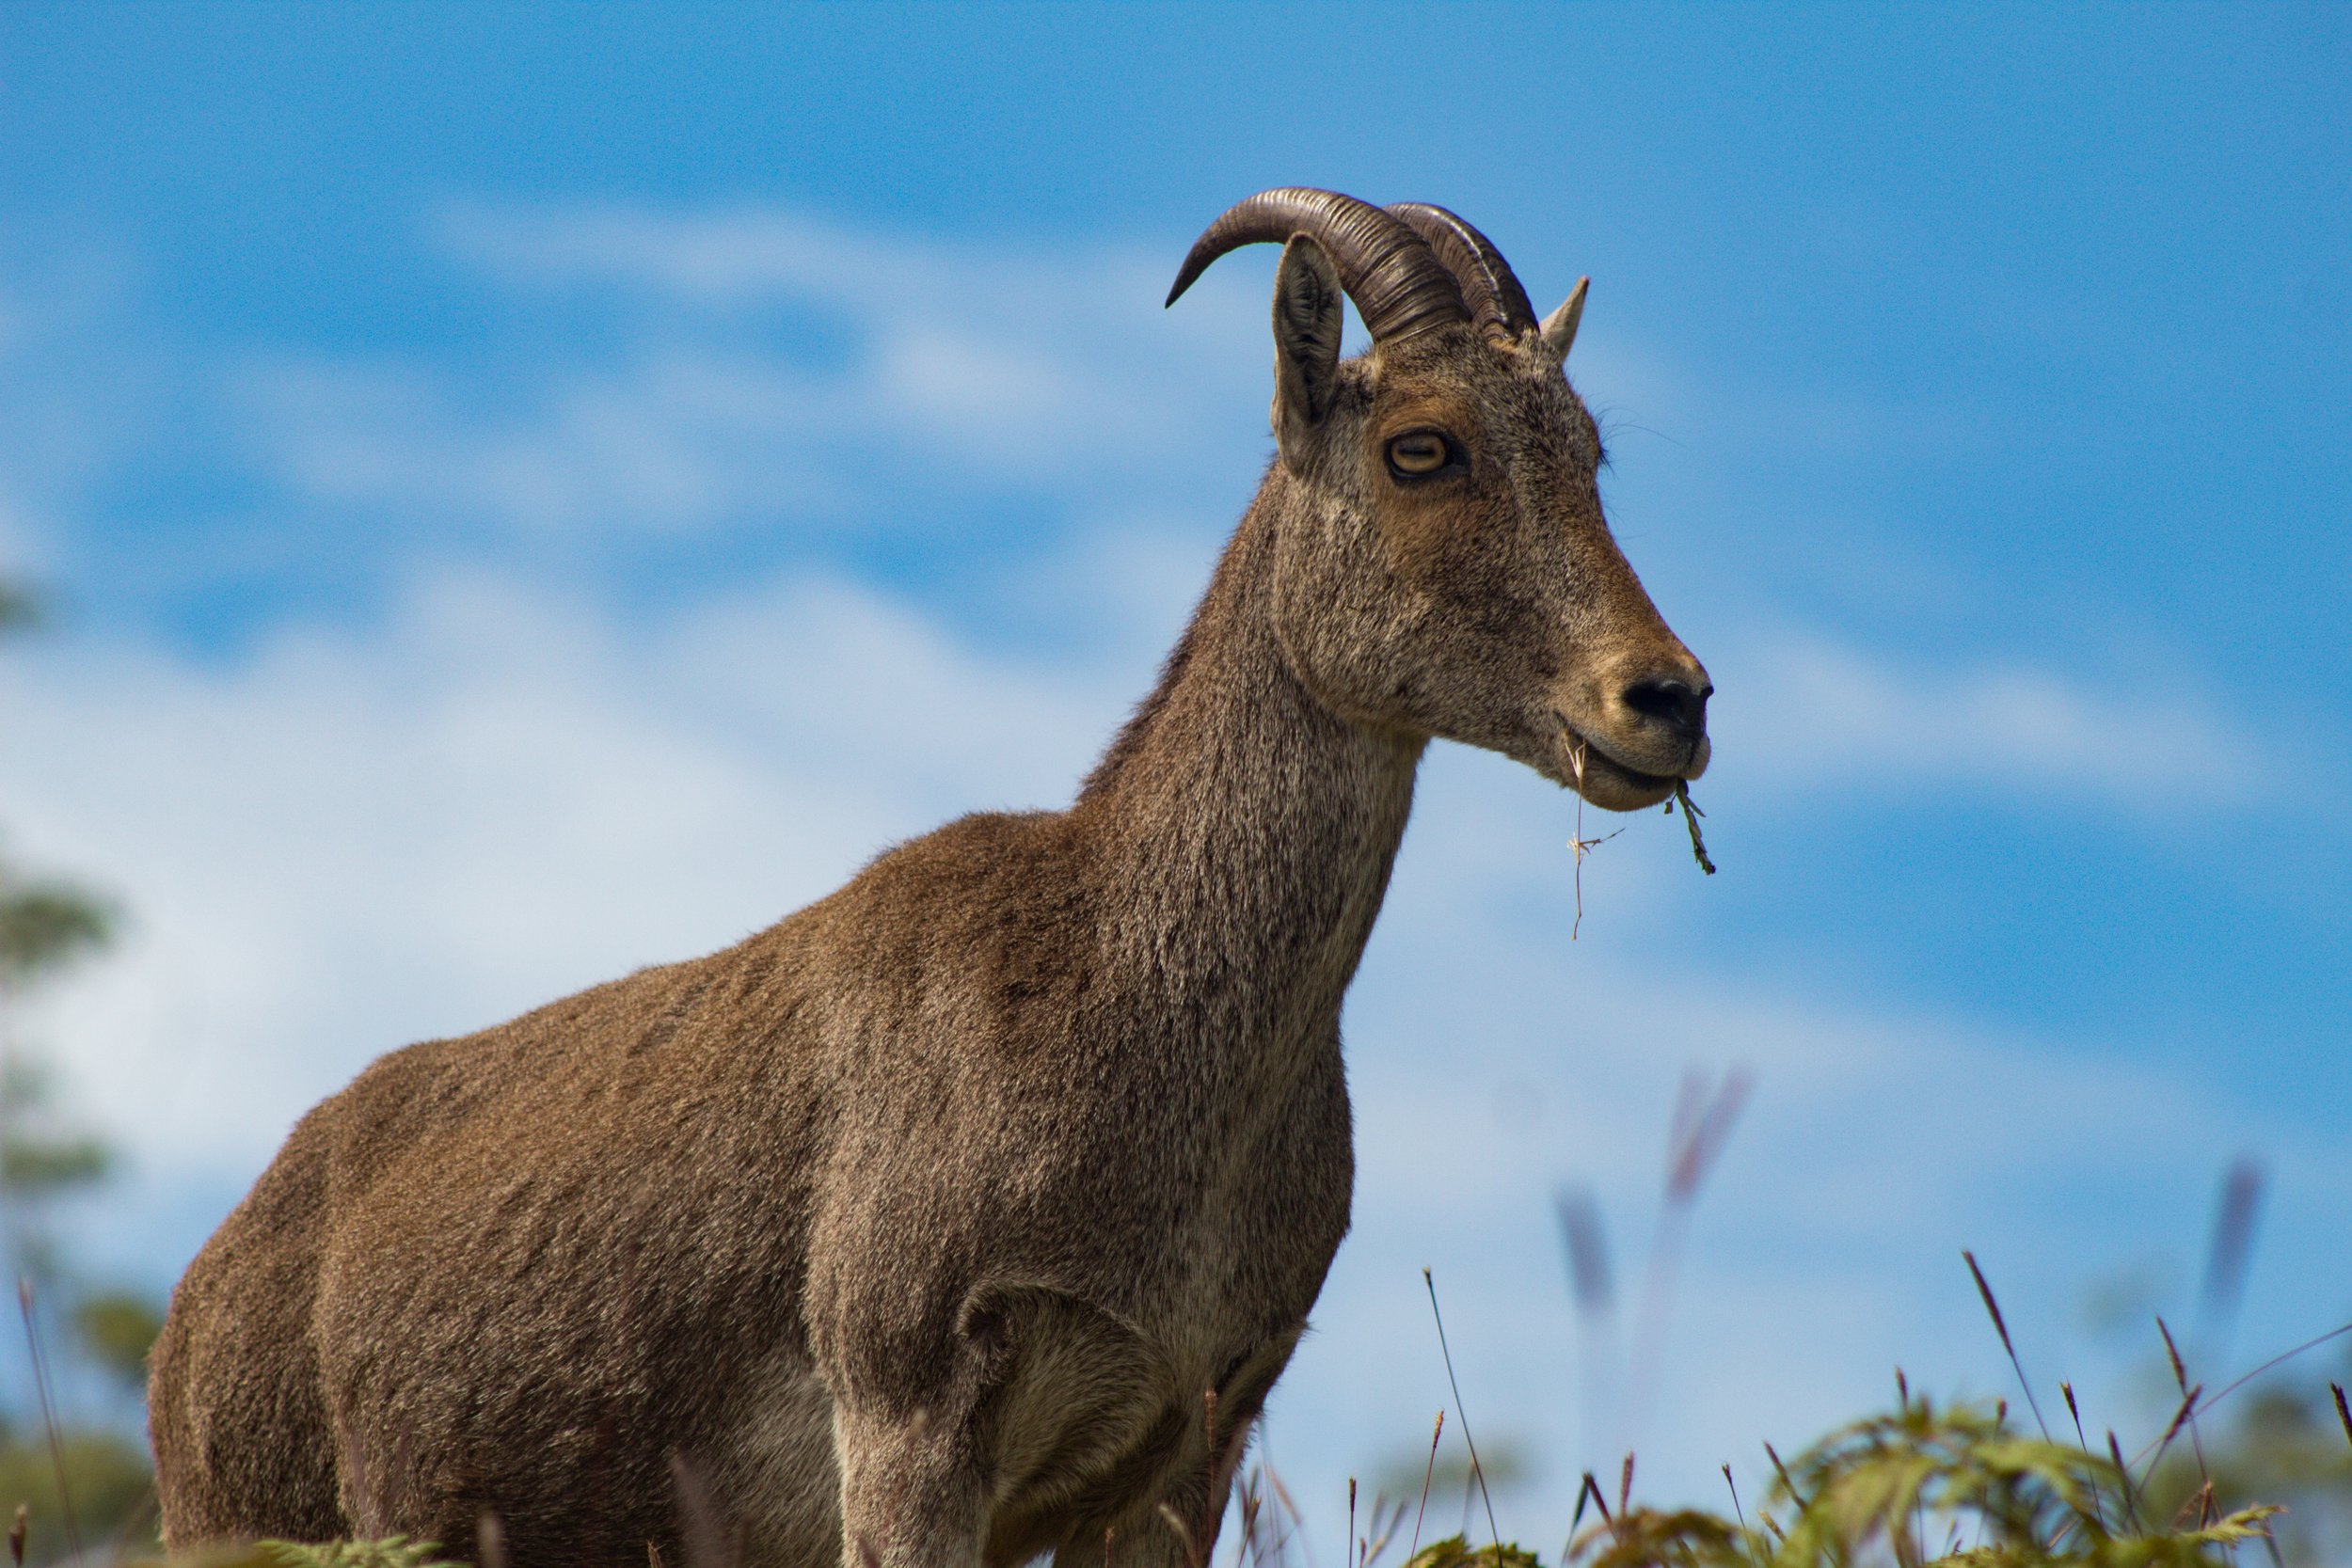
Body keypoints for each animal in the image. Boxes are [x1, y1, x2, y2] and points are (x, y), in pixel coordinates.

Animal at [149, 189, 1712, 1568]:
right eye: (1419, 446)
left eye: (1586, 448)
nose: (1666, 699)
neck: (1122, 985)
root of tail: (192, 1312)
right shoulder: (905, 1399)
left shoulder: (1185, 1444)